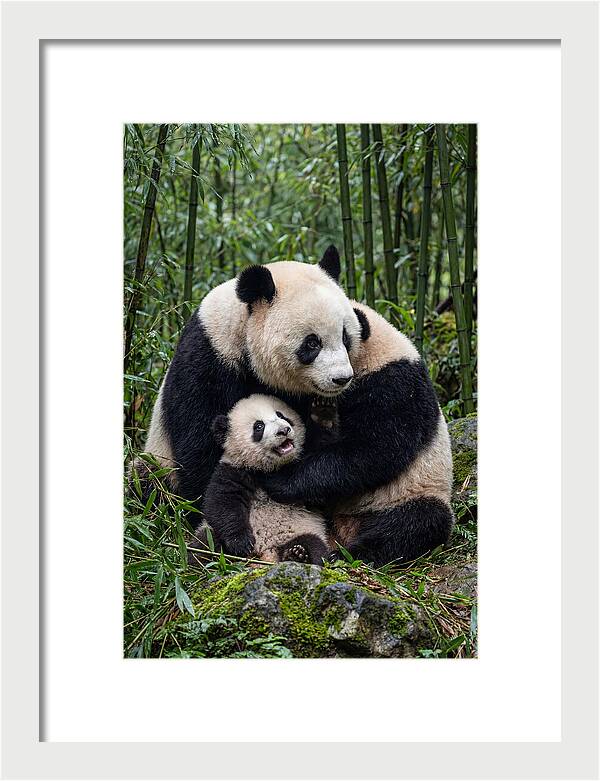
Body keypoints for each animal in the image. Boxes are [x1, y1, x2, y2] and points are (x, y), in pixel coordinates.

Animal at [187, 394, 330, 565]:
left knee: (314, 545)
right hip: (209, 532)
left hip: (301, 530)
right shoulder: (233, 470)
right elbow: (222, 503)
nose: (284, 430)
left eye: (281, 415)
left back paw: (298, 554)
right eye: (259, 426)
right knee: (204, 544)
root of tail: (266, 553)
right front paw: (241, 543)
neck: (267, 467)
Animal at [260, 300, 454, 568]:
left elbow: (371, 452)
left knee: (413, 524)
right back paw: (299, 552)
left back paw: (349, 554)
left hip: (413, 492)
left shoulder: (396, 385)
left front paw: (280, 480)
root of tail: (345, 529)